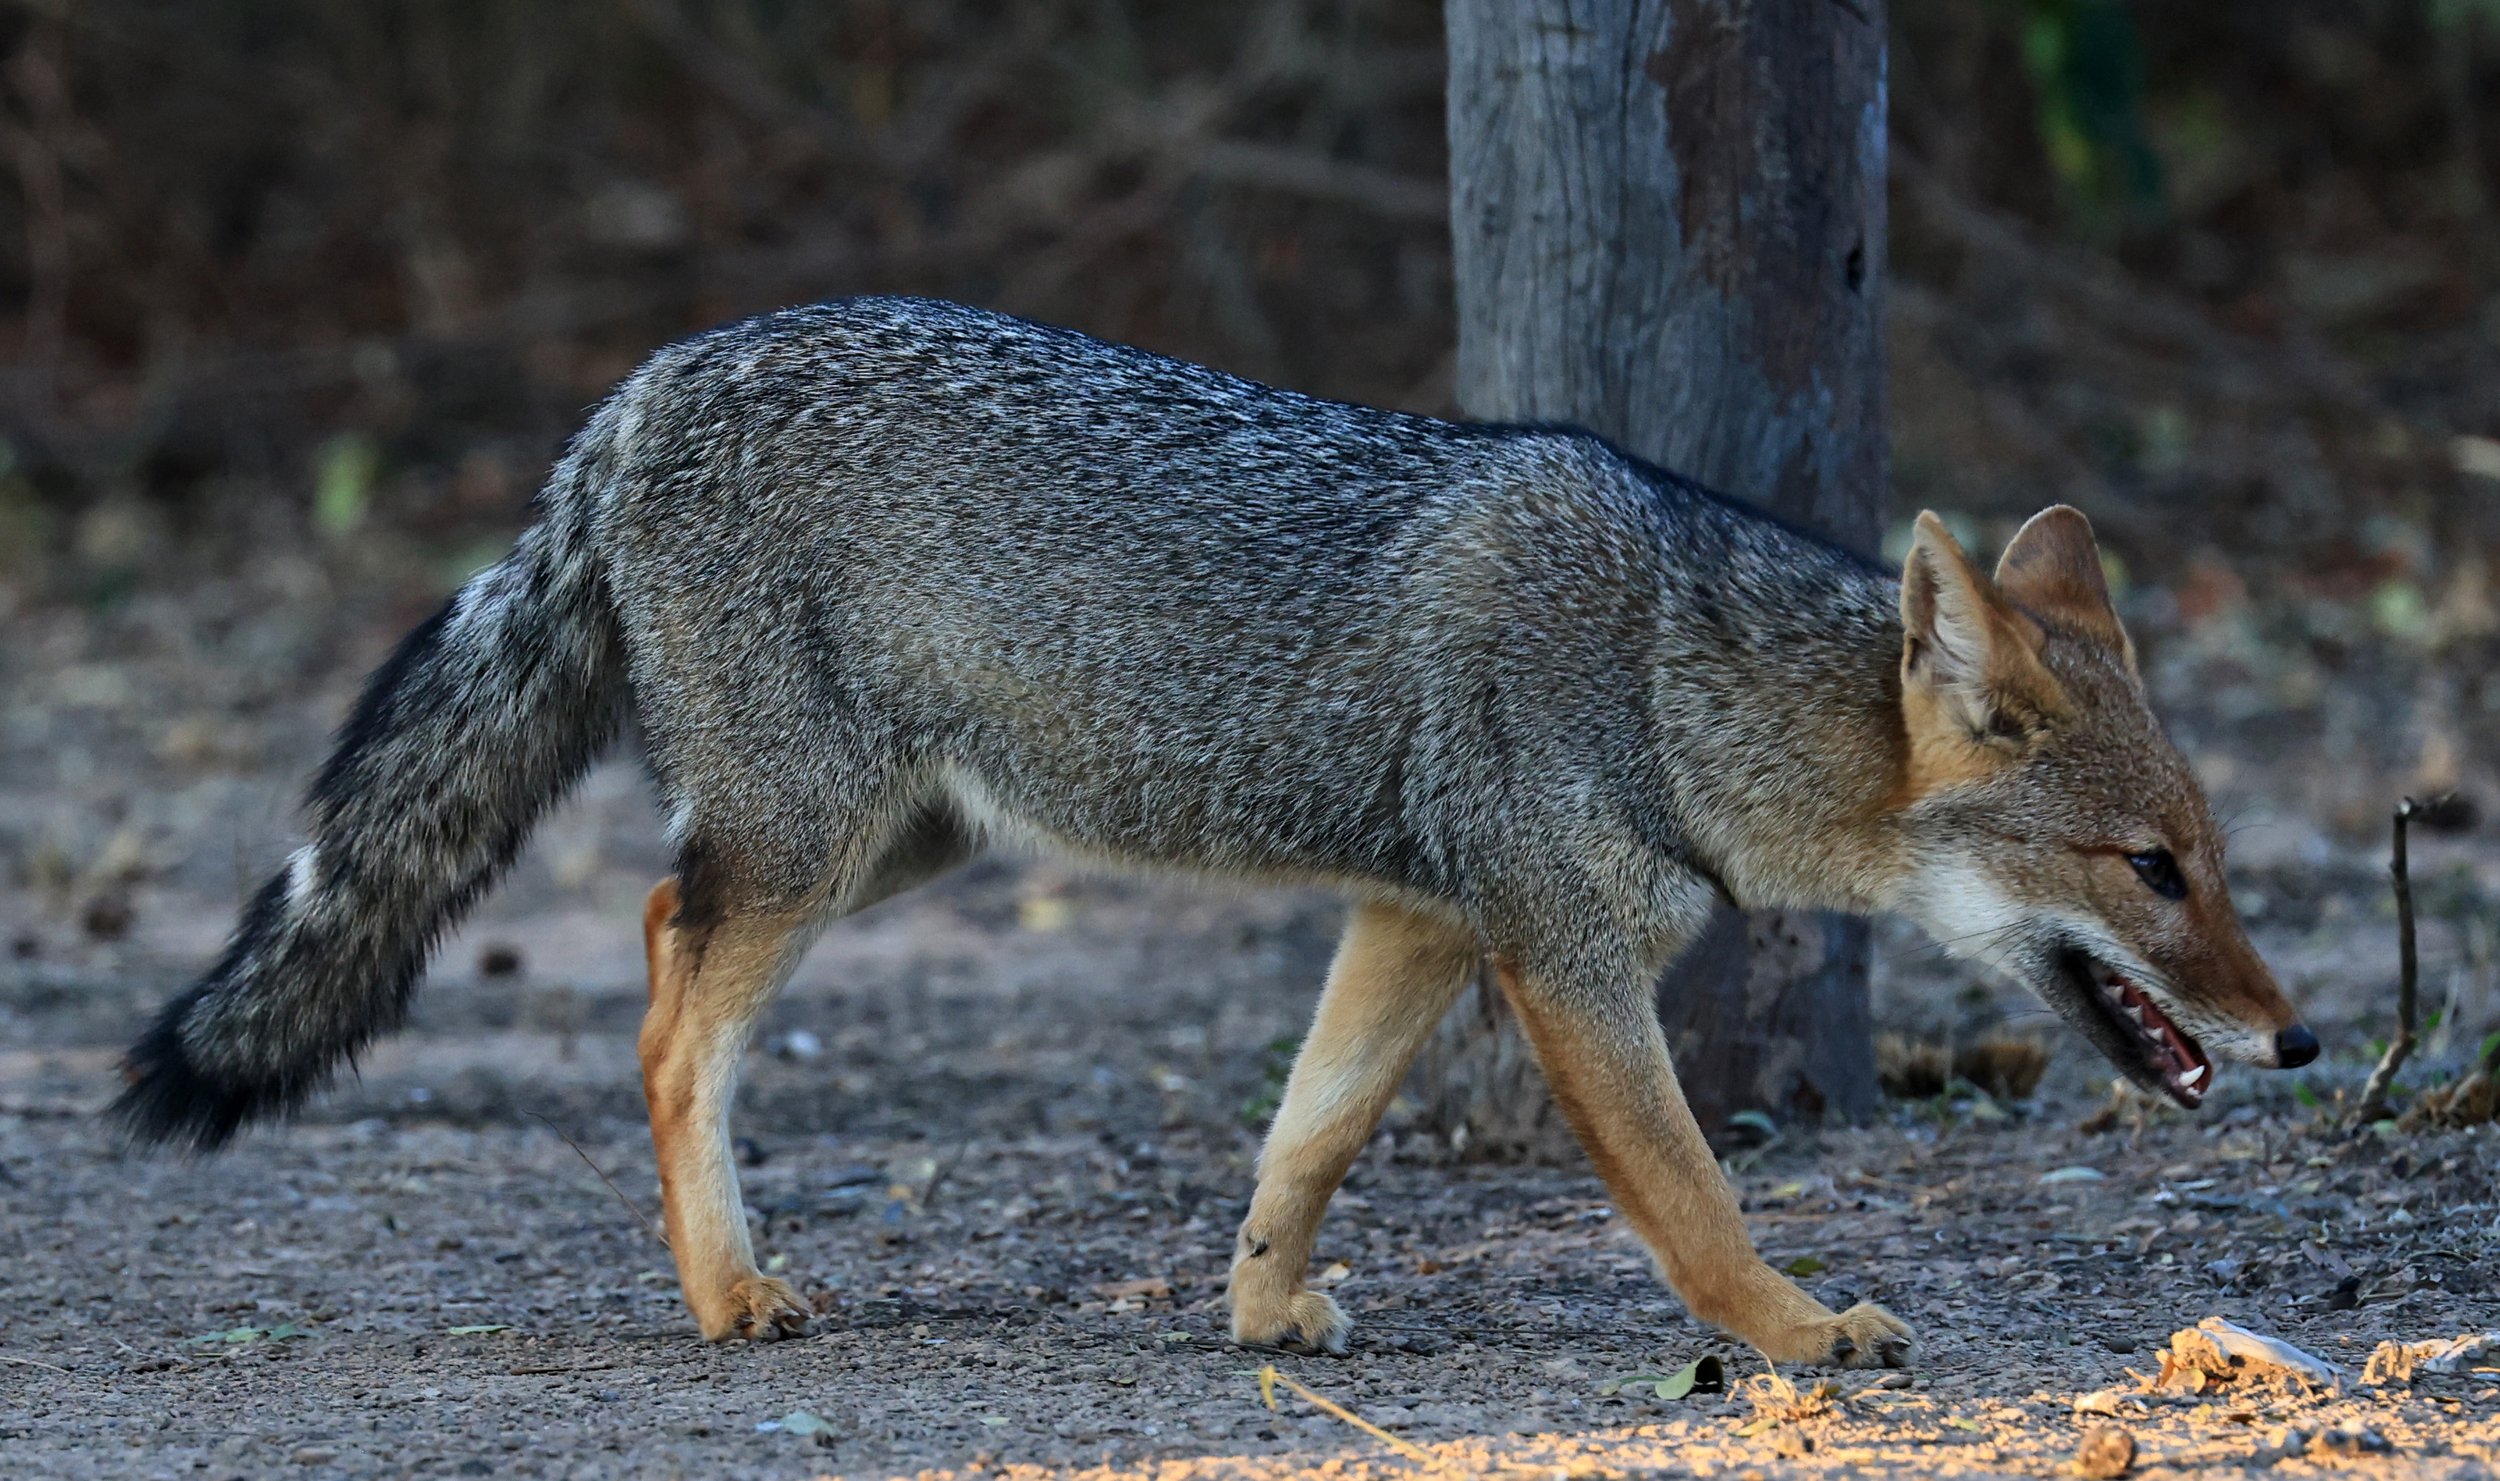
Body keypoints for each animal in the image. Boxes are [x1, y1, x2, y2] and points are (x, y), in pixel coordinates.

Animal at [114, 296, 2317, 1367]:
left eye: (2210, 857)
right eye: (2150, 872)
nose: (2301, 1038)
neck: (1663, 669)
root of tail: (649, 378)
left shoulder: (1415, 919)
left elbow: (1305, 1137)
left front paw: (1256, 1311)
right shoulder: (1557, 952)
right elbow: (1691, 1191)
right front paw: (1790, 1329)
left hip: (916, 840)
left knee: (660, 922)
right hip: (821, 844)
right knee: (668, 994)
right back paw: (731, 1291)